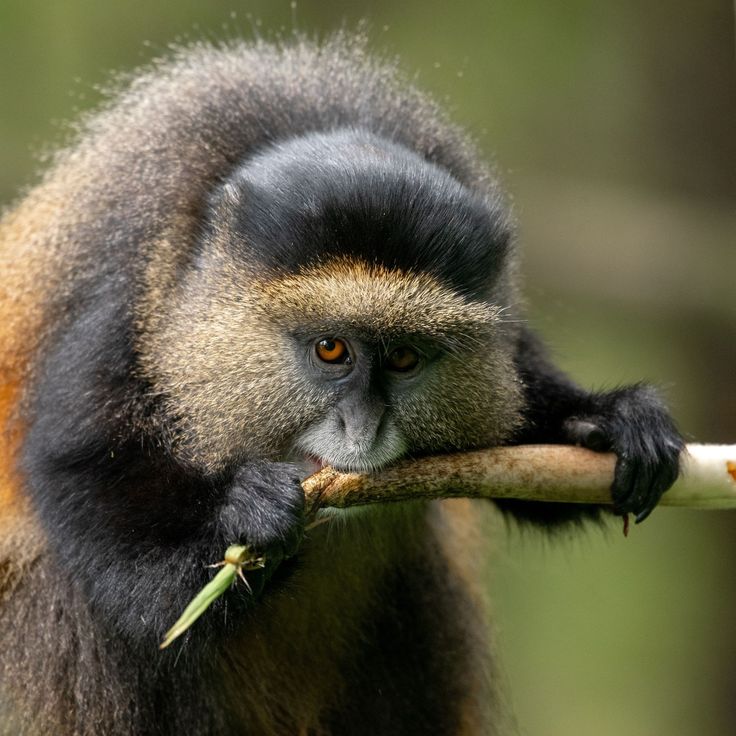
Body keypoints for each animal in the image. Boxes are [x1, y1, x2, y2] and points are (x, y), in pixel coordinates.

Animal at [0, 34, 683, 736]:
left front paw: (610, 421)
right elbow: (88, 488)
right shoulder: (120, 300)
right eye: (332, 350)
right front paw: (247, 519)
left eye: (404, 358)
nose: (365, 427)